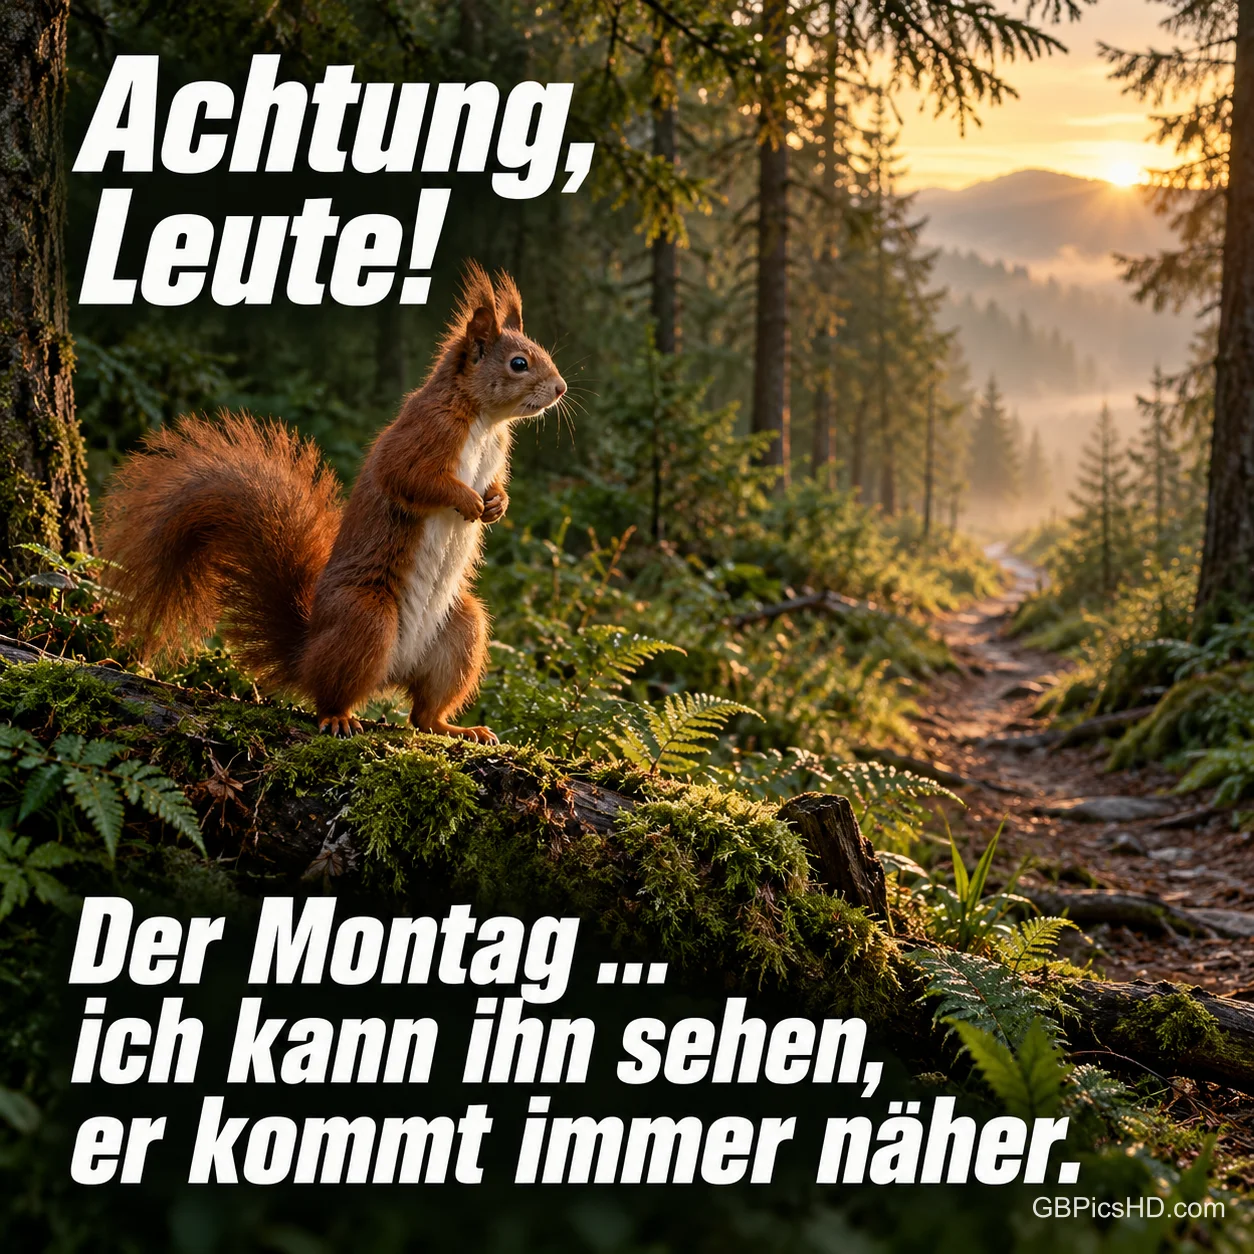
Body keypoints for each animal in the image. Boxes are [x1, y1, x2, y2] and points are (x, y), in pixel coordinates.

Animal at [100, 263, 566, 742]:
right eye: (518, 363)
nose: (561, 388)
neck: (485, 420)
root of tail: (308, 654)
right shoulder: (423, 435)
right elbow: (410, 478)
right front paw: (468, 501)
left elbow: (496, 487)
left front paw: (496, 505)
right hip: (366, 617)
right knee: (331, 693)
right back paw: (339, 717)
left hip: (461, 631)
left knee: (423, 714)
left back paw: (457, 728)